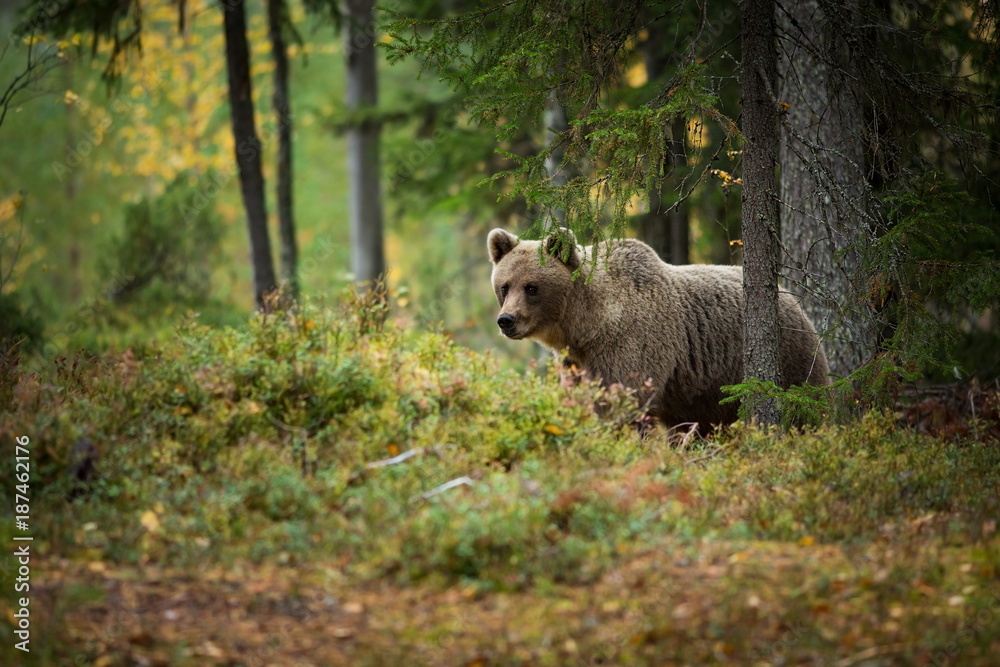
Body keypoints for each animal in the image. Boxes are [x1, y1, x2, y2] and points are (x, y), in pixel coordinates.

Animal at [487, 227, 830, 429]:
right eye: (504, 286)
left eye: (532, 287)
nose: (506, 320)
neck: (587, 325)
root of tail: (792, 298)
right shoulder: (577, 362)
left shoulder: (632, 344)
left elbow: (624, 402)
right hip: (704, 397)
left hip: (792, 361)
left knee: (805, 413)